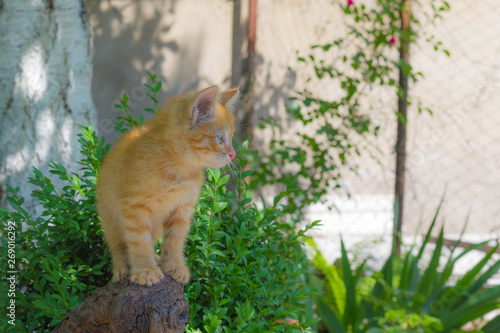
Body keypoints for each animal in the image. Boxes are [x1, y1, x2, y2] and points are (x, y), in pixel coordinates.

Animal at [98, 86, 240, 286]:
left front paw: (174, 264)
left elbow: (175, 238)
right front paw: (145, 270)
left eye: (231, 138)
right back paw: (122, 268)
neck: (179, 168)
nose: (233, 154)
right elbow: (139, 240)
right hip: (109, 216)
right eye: (220, 138)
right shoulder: (134, 207)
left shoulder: (183, 207)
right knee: (117, 244)